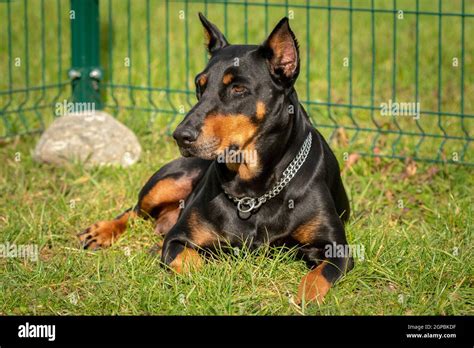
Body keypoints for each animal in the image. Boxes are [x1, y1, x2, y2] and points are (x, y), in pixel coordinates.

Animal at [78, 13, 352, 304]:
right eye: (199, 86)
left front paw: (304, 298)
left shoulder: (338, 249)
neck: (253, 190)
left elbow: (318, 276)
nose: (180, 136)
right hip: (171, 180)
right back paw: (102, 231)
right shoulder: (179, 237)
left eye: (238, 89)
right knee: (134, 211)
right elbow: (187, 260)